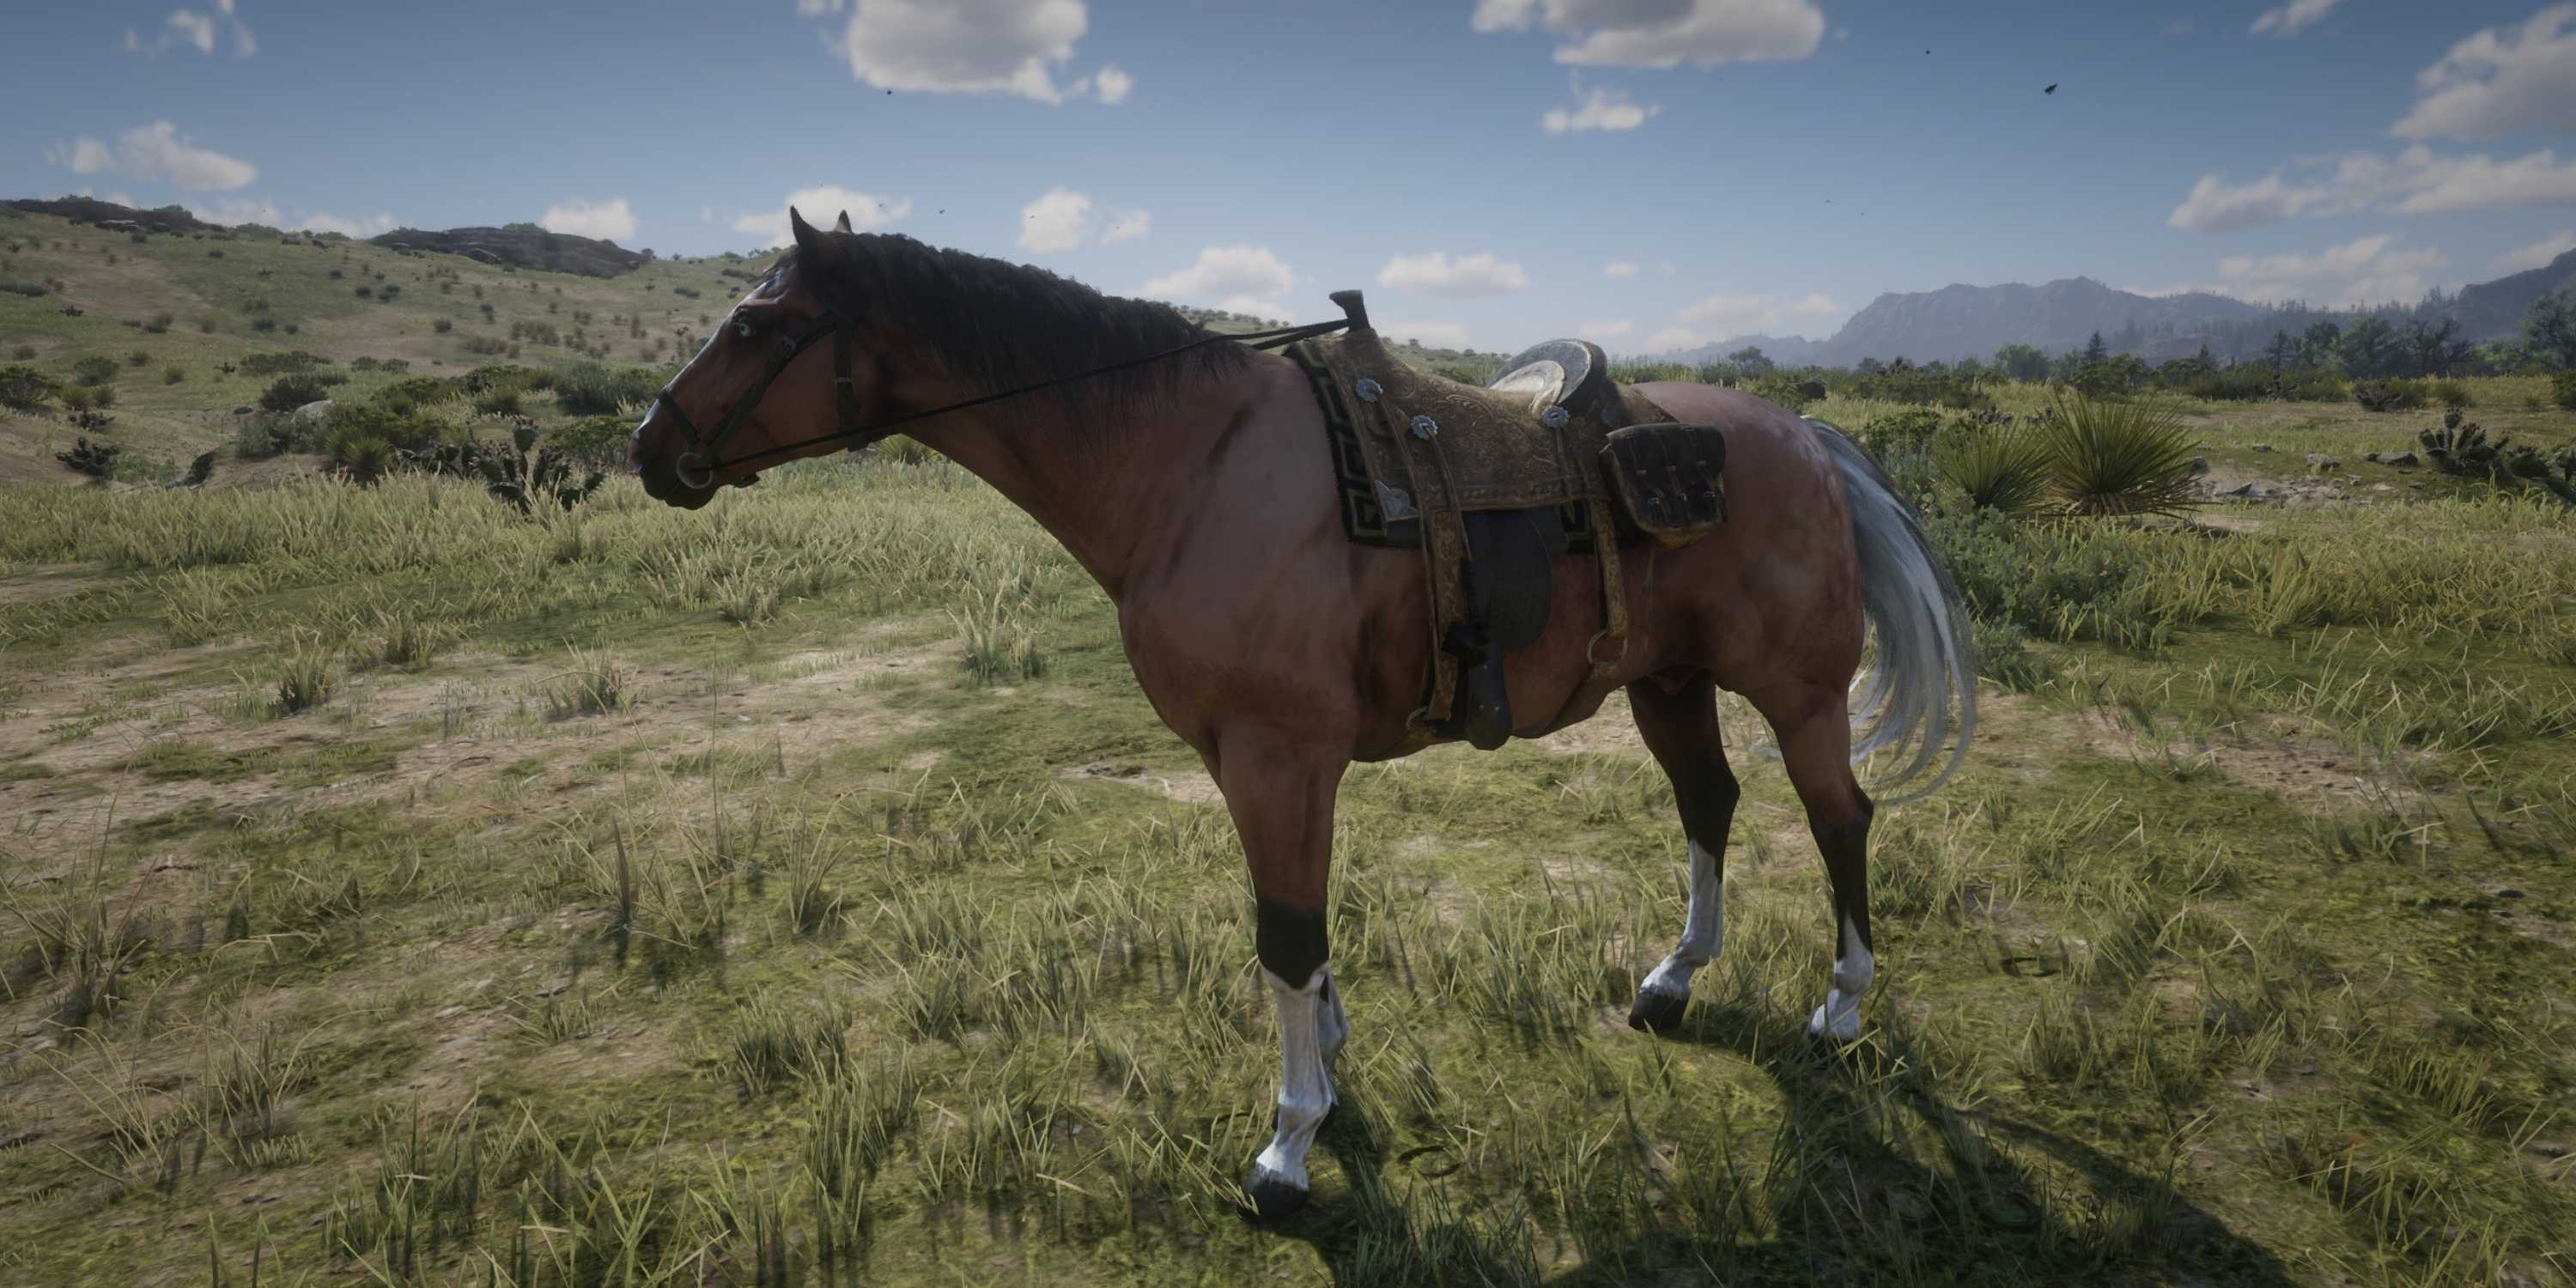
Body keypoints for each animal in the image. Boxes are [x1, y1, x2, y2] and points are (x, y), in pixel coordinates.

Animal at [629, 208, 1977, 1218]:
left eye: (757, 325)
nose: (649, 447)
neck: (1190, 466)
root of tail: (1802, 436)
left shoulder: (1277, 758)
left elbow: (1283, 938)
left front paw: (1288, 1144)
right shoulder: (1269, 768)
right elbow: (1309, 933)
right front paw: (1326, 1069)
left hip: (1797, 691)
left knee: (1839, 819)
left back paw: (1841, 1004)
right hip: (1668, 683)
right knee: (1711, 802)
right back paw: (1674, 980)